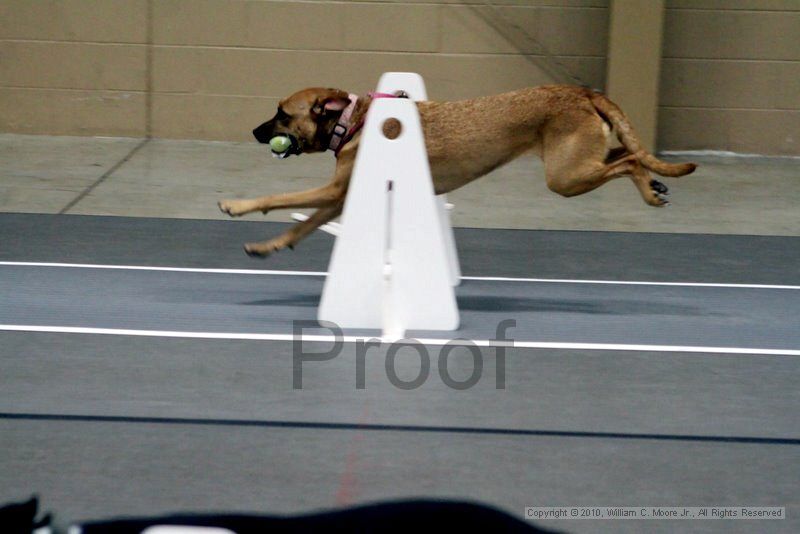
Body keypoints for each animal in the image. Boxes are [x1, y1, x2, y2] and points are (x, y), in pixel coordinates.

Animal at [217, 86, 692, 258]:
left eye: (282, 114)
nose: (255, 132)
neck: (354, 121)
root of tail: (582, 91)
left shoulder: (332, 192)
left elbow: (276, 199)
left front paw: (236, 204)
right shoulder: (339, 198)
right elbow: (299, 227)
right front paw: (268, 246)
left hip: (566, 176)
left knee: (630, 160)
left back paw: (651, 191)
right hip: (581, 162)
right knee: (626, 155)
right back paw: (654, 184)